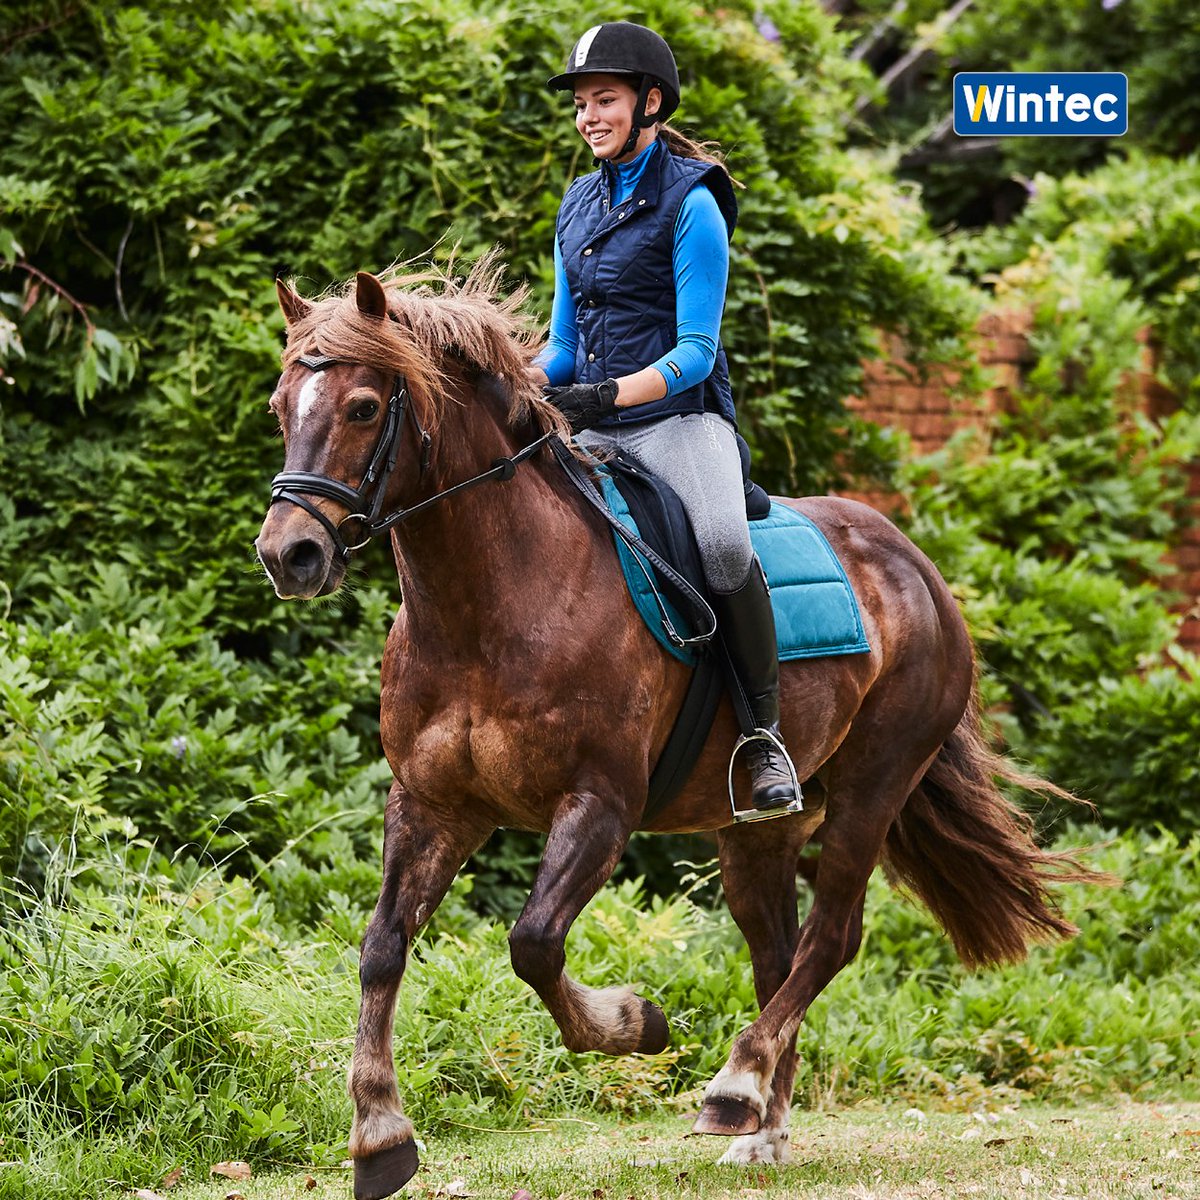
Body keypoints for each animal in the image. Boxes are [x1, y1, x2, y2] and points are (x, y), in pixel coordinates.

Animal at [255, 260, 1102, 1200]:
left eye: (365, 407)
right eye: (281, 408)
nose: (288, 555)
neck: (489, 606)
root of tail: (913, 563)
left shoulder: (600, 804)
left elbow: (533, 943)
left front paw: (636, 1022)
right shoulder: (433, 804)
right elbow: (381, 947)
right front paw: (380, 1134)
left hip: (874, 787)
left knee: (830, 938)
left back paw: (734, 1086)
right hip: (757, 831)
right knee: (780, 954)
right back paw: (763, 1130)